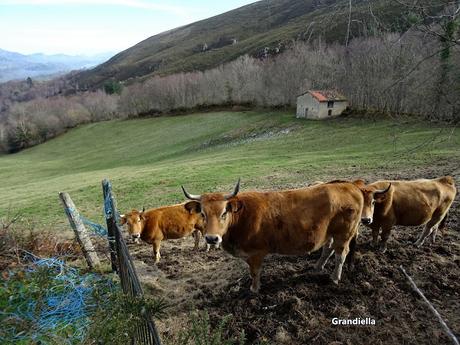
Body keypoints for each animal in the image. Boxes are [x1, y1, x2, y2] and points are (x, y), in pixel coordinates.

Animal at [181, 179, 364, 292]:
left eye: (224, 213)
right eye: (203, 214)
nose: (212, 239)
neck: (242, 217)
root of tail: (349, 186)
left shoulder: (255, 253)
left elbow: (254, 272)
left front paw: (254, 289)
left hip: (344, 233)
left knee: (341, 254)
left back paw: (335, 277)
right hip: (330, 233)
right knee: (328, 249)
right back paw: (318, 267)